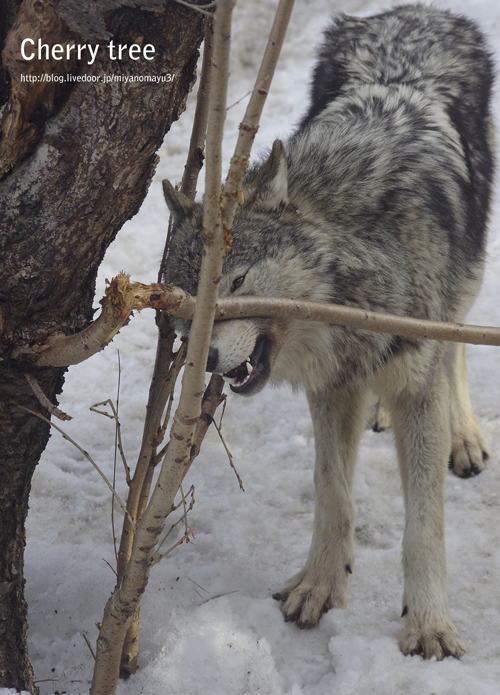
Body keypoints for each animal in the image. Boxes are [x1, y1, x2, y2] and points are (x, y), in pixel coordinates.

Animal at [162, 4, 494, 656]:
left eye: (237, 282)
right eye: (186, 303)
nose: (201, 359)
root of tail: (415, 13)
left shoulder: (416, 386)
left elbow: (424, 527)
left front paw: (429, 626)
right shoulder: (333, 387)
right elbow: (332, 492)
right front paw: (319, 586)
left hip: (466, 276)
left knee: (456, 348)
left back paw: (464, 435)